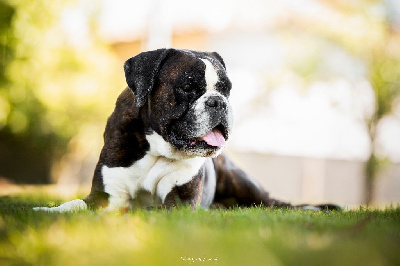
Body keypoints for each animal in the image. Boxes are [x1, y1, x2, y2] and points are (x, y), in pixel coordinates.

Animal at [34, 48, 340, 212]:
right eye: (188, 86)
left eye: (227, 89)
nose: (219, 102)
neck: (155, 147)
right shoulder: (104, 196)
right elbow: (75, 204)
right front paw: (47, 211)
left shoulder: (178, 201)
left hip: (247, 186)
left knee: (276, 203)